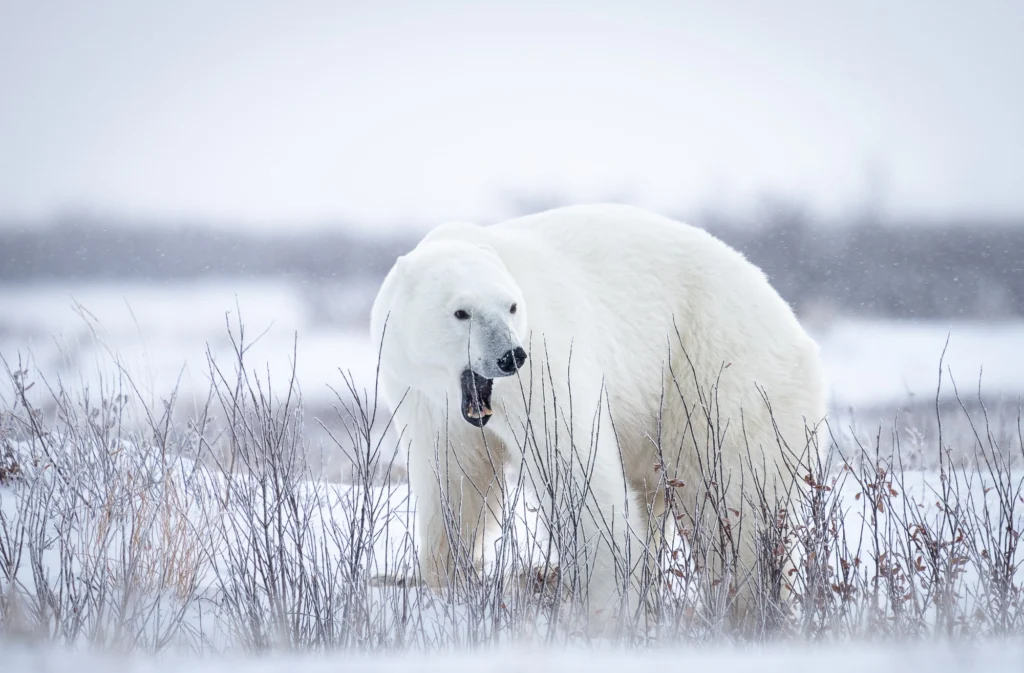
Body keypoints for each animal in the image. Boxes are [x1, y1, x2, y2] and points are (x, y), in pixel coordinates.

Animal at [370, 204, 827, 627]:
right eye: (461, 312)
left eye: (512, 306)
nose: (510, 355)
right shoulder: (426, 400)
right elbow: (452, 482)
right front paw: (447, 581)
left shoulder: (547, 371)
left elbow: (577, 469)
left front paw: (606, 600)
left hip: (715, 370)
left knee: (735, 497)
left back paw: (749, 602)